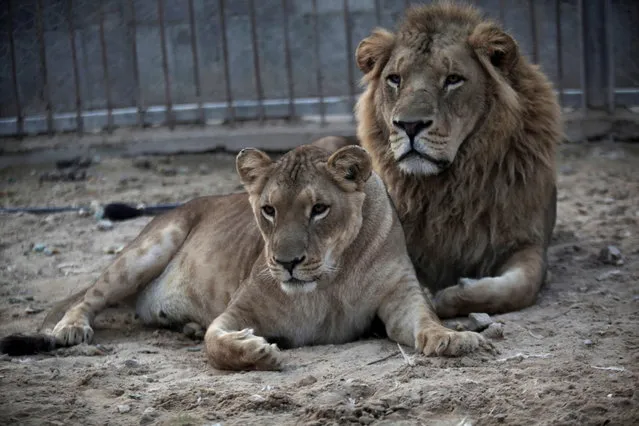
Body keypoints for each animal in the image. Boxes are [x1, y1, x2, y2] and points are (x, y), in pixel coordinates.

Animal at [0, 145, 492, 372]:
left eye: (319, 209)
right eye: (269, 210)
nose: (288, 263)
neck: (331, 277)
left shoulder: (400, 296)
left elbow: (424, 319)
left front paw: (452, 338)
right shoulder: (236, 310)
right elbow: (215, 343)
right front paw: (257, 352)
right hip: (149, 247)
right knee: (90, 297)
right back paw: (70, 329)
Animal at [350, 1, 560, 318]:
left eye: (453, 80)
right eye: (395, 79)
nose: (409, 125)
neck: (450, 186)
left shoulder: (527, 239)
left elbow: (520, 286)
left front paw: (452, 295)